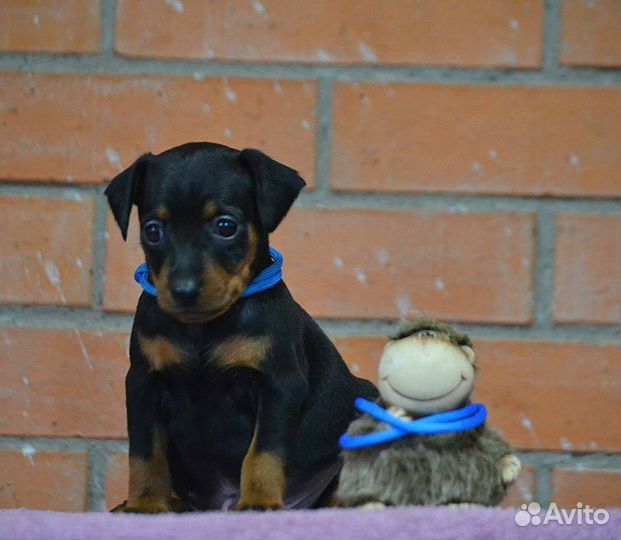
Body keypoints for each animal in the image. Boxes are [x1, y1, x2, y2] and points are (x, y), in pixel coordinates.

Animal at [106, 141, 376, 512]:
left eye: (225, 226)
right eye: (152, 231)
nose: (184, 291)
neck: (204, 328)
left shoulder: (279, 384)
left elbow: (263, 452)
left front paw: (260, 500)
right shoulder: (143, 382)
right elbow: (145, 454)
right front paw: (145, 504)